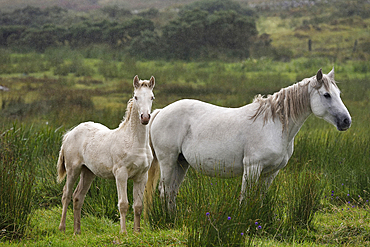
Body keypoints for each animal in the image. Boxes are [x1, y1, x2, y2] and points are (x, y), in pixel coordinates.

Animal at [57, 75, 155, 233]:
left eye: (152, 97)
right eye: (136, 97)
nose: (145, 117)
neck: (134, 142)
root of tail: (69, 134)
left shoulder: (142, 176)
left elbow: (138, 206)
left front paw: (137, 232)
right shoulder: (121, 174)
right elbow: (123, 204)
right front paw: (123, 232)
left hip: (88, 172)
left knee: (78, 196)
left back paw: (77, 231)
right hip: (73, 170)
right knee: (66, 195)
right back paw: (62, 228)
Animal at [144, 68, 350, 212]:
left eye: (339, 94)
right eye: (326, 95)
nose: (346, 121)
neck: (274, 125)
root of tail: (160, 111)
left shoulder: (271, 172)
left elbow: (259, 198)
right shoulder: (252, 167)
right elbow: (246, 198)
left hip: (181, 162)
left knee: (172, 192)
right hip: (168, 160)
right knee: (164, 190)